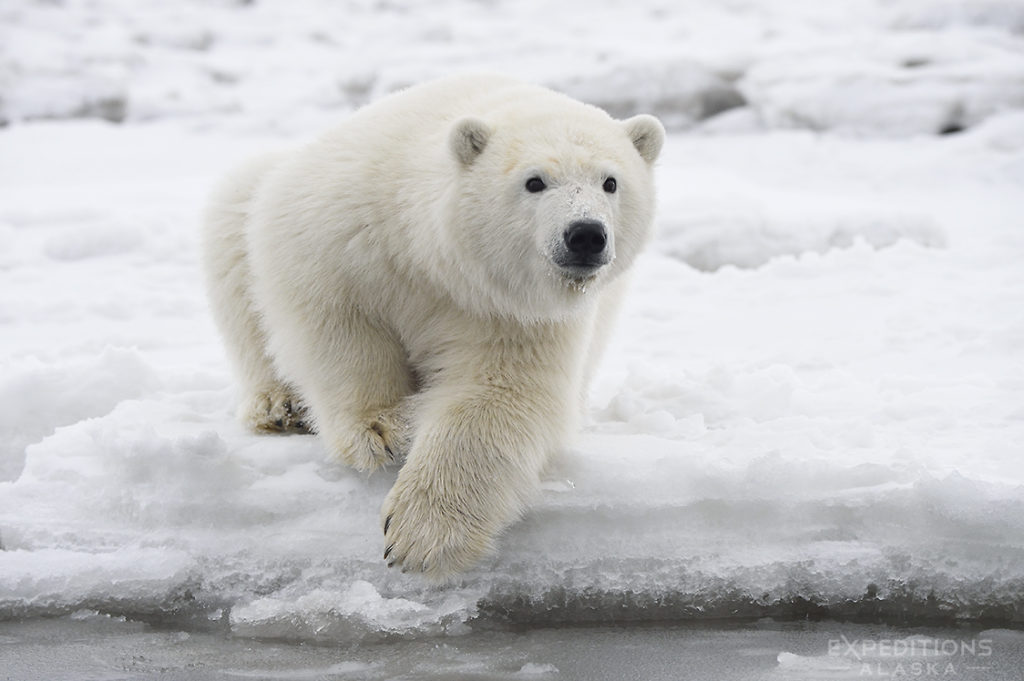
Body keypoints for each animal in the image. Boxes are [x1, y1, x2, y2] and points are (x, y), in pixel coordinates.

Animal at [201, 74, 663, 577]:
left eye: (611, 181)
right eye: (534, 181)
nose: (585, 234)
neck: (435, 259)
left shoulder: (514, 314)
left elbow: (500, 396)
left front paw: (421, 533)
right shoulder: (345, 229)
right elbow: (335, 321)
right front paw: (381, 429)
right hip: (254, 197)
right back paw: (278, 406)